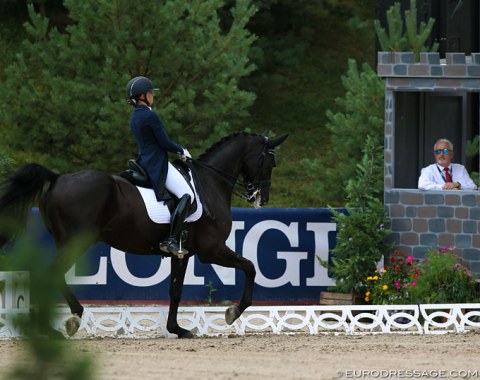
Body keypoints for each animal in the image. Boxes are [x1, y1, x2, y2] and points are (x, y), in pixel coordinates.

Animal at [0, 131, 284, 338]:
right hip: (74, 242)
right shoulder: (211, 249)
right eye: (270, 162)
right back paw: (67, 321)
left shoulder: (182, 253)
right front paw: (233, 312)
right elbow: (250, 267)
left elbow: (175, 290)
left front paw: (177, 329)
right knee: (50, 275)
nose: (262, 198)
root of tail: (58, 178)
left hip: (65, 241)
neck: (209, 183)